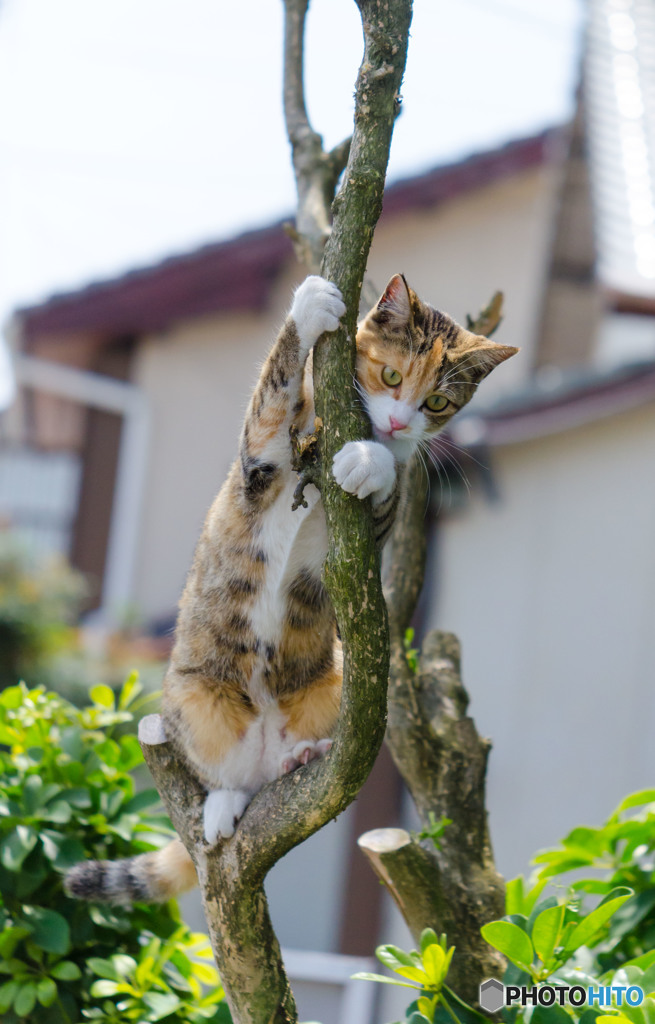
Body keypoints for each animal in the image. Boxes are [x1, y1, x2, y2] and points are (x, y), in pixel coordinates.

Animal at [66, 274, 515, 905]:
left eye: (437, 403)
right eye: (392, 375)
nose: (398, 423)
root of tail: (265, 751)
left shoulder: (374, 531)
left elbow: (388, 491)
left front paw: (372, 462)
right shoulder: (261, 460)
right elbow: (271, 400)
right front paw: (310, 306)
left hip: (334, 676)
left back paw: (303, 755)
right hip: (192, 696)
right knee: (226, 775)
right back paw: (223, 805)